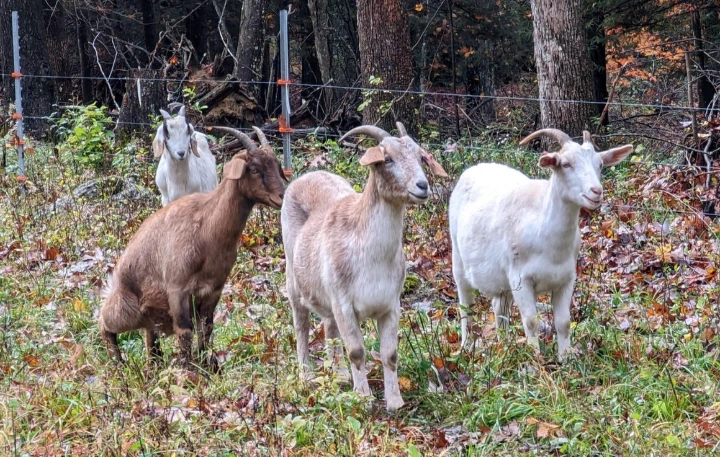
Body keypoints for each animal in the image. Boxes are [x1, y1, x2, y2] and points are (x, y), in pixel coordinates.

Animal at [99, 126, 286, 370]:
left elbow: (206, 328)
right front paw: (188, 370)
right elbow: (185, 330)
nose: (282, 196)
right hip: (126, 309)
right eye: (254, 168)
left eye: (276, 165)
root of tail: (117, 277)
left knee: (150, 338)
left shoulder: (213, 289)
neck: (206, 227)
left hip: (150, 317)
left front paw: (206, 366)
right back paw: (119, 364)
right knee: (104, 322)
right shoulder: (177, 289)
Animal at [281, 122, 446, 411]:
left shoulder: (390, 305)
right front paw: (364, 398)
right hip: (294, 279)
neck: (371, 259)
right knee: (301, 325)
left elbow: (390, 354)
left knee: (329, 328)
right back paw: (307, 375)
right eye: (387, 158)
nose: (422, 185)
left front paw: (395, 401)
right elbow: (357, 352)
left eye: (419, 156)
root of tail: (307, 175)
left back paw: (339, 375)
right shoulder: (344, 304)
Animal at [449, 129, 632, 360]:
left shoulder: (566, 279)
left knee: (499, 307)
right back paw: (466, 348)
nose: (596, 191)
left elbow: (563, 322)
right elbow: (531, 321)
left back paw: (504, 346)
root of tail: (474, 168)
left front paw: (566, 359)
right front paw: (536, 360)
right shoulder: (520, 278)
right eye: (566, 164)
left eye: (599, 164)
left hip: (503, 282)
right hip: (458, 260)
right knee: (466, 307)